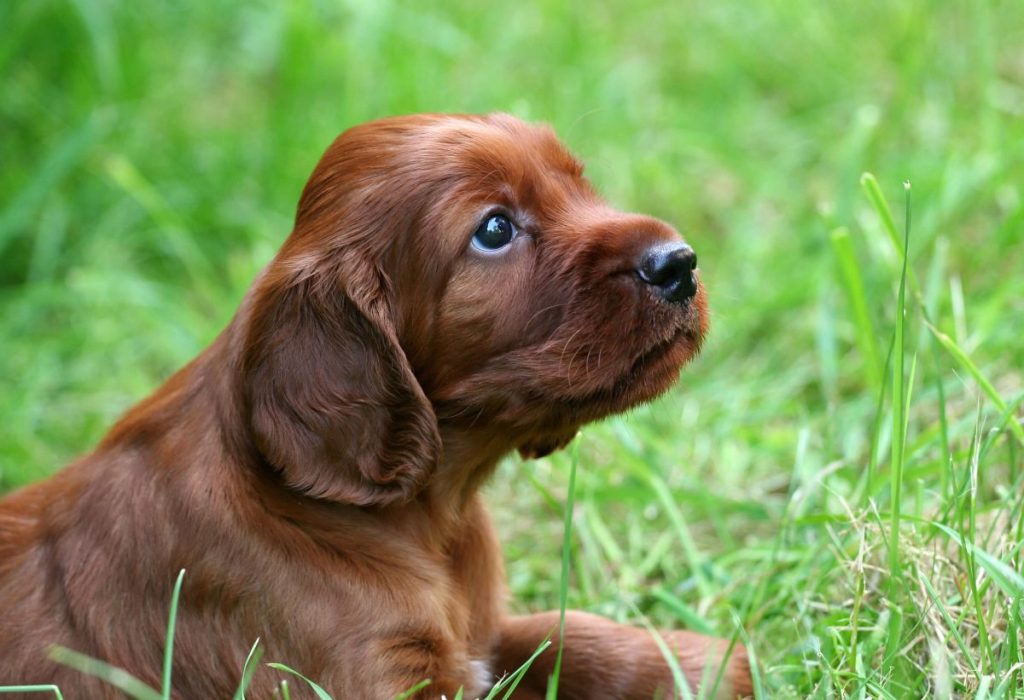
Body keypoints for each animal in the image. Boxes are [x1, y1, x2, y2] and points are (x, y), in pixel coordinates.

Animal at [0, 112, 753, 695]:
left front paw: (699, 662)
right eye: (494, 230)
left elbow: (559, 636)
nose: (679, 263)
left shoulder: (476, 636)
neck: (427, 513)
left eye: (578, 181)